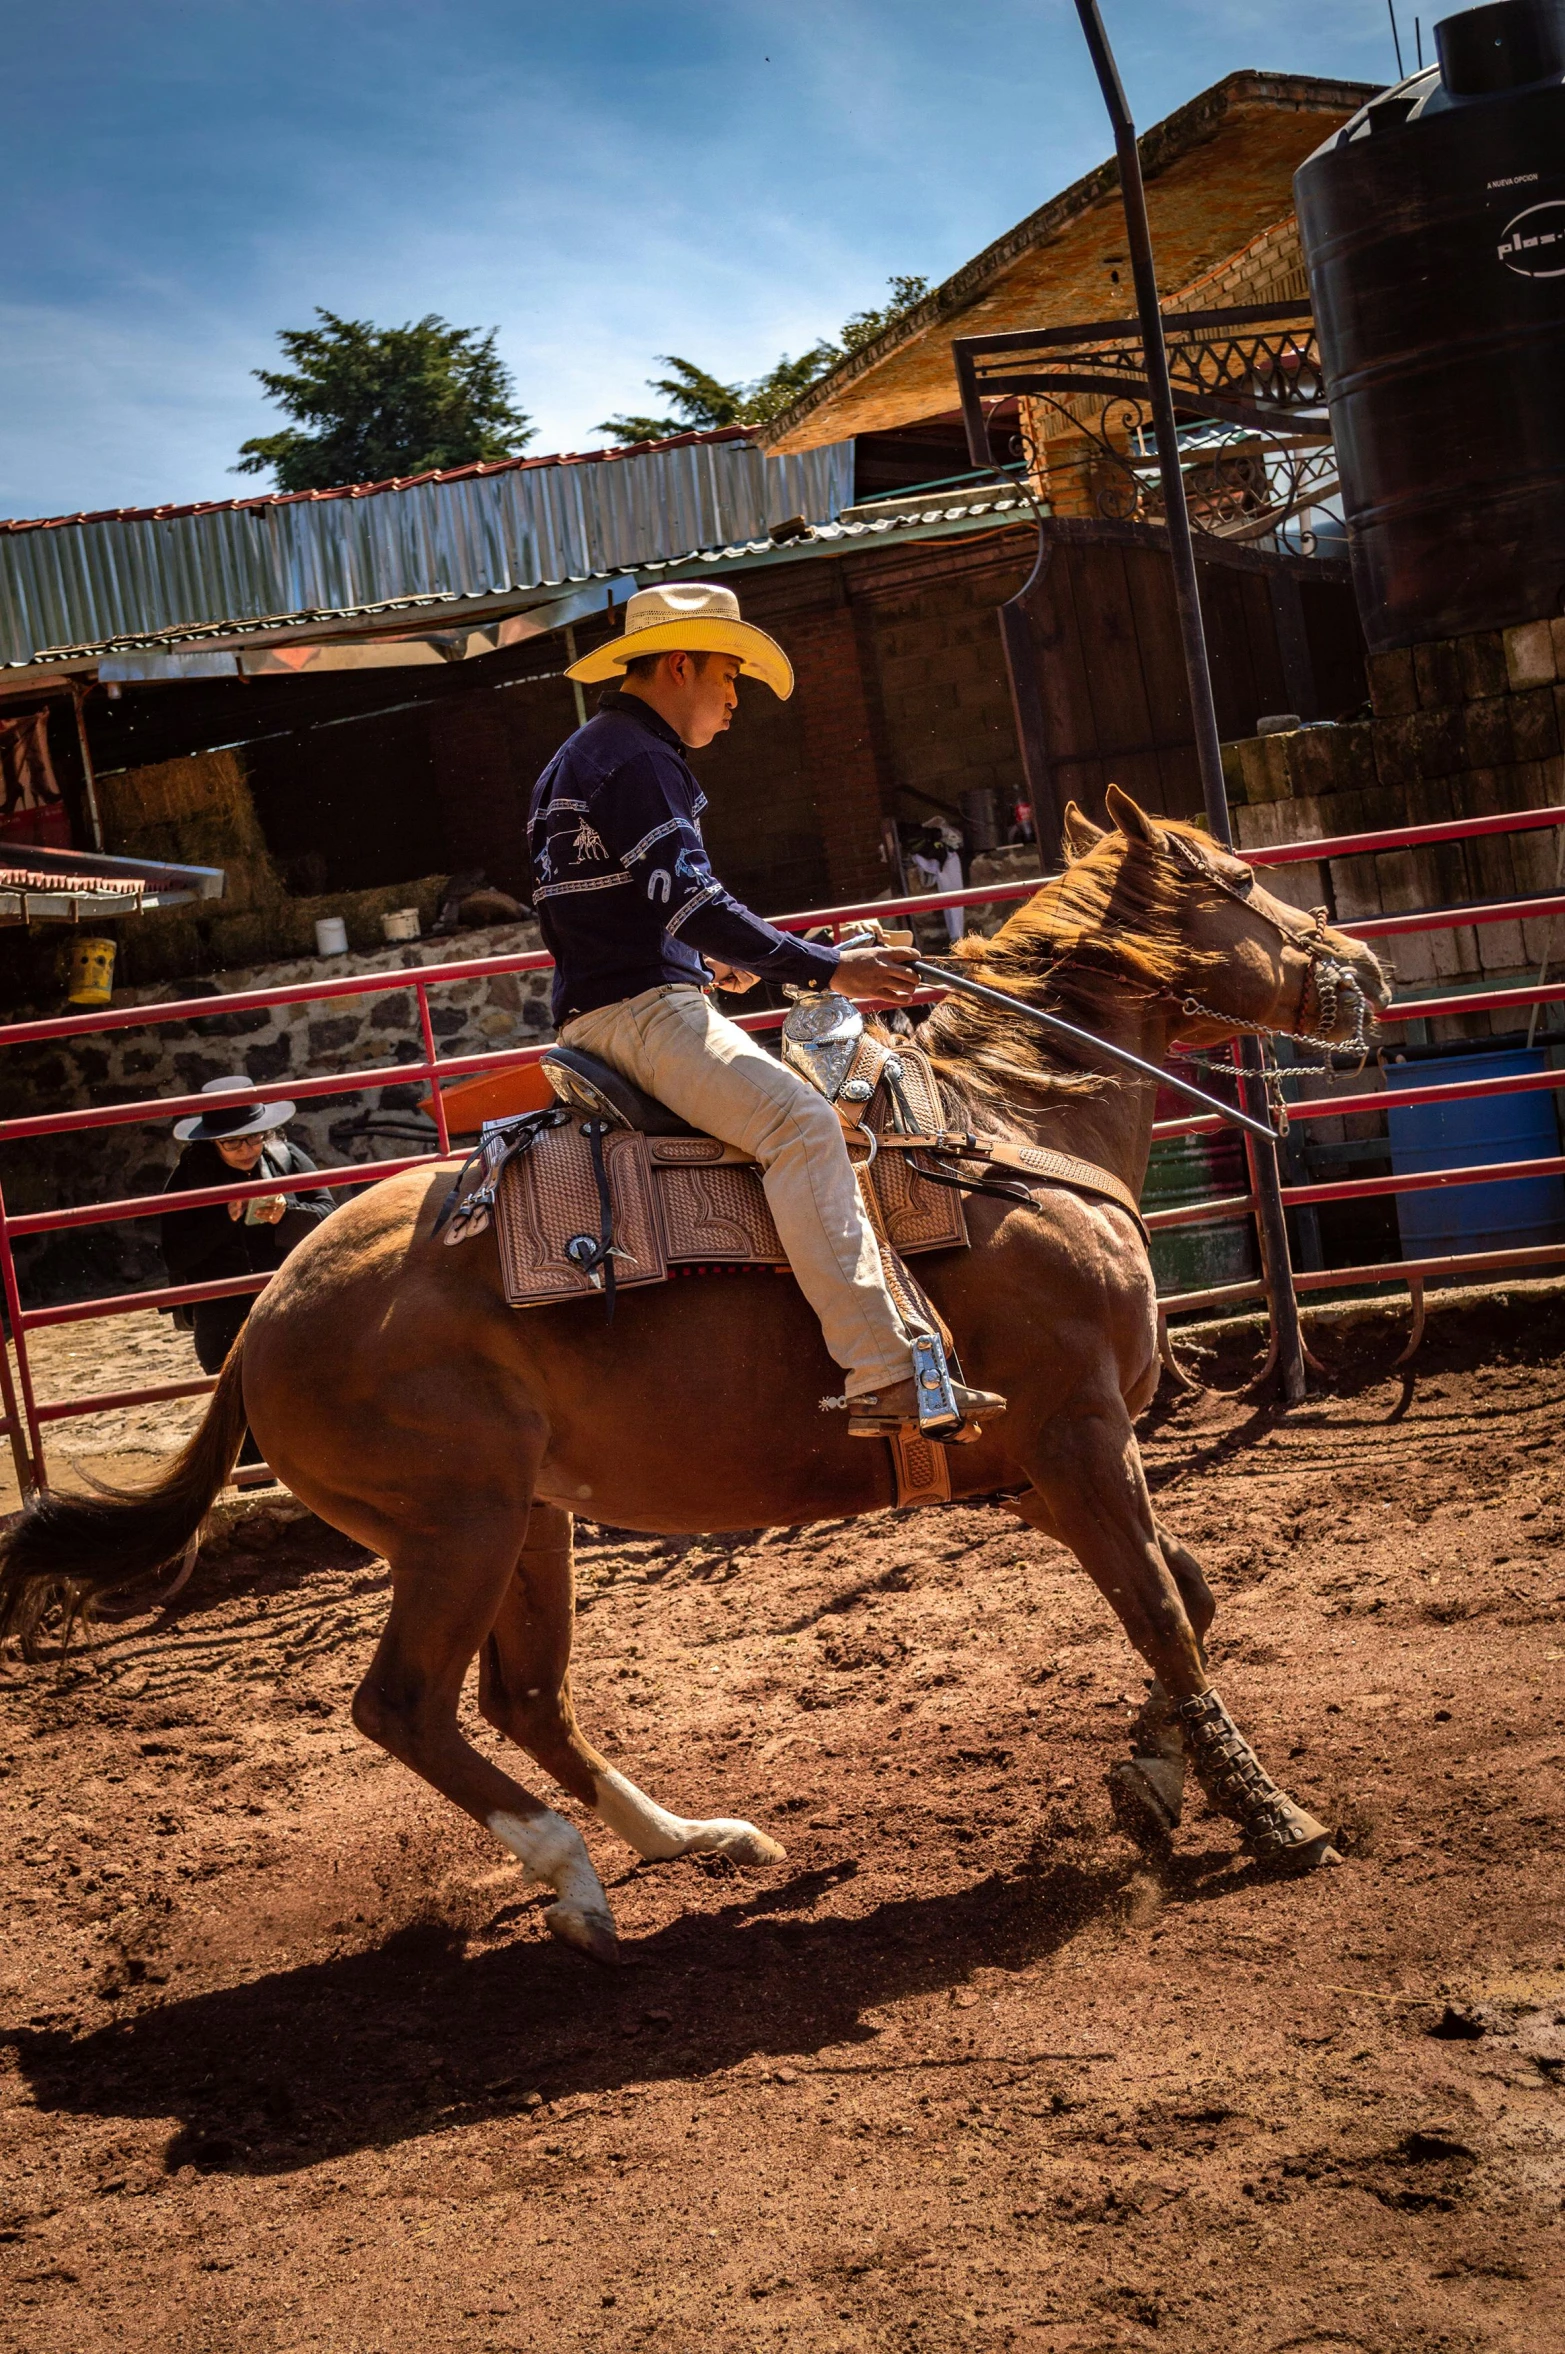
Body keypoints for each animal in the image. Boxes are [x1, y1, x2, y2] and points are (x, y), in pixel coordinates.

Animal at [0, 781, 1393, 1958]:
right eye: (1234, 876)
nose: (1367, 967)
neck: (1006, 1129)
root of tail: (263, 1319)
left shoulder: (1031, 1470)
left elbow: (1186, 1593)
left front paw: (1150, 1781)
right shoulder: (1077, 1432)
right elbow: (1161, 1608)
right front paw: (1273, 1817)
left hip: (526, 1523)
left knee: (526, 1697)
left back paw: (691, 1838)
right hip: (456, 1526)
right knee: (406, 1704)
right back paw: (574, 1879)